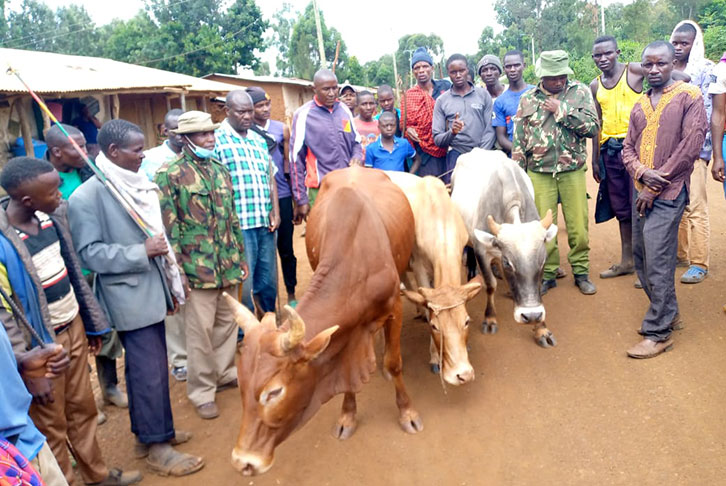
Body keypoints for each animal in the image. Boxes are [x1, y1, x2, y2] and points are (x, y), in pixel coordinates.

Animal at [226, 167, 420, 474]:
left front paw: (407, 412)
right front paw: (347, 416)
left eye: (274, 392)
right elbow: (348, 378)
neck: (356, 259)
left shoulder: (395, 306)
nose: (243, 461)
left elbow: (395, 363)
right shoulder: (345, 334)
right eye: (241, 383)